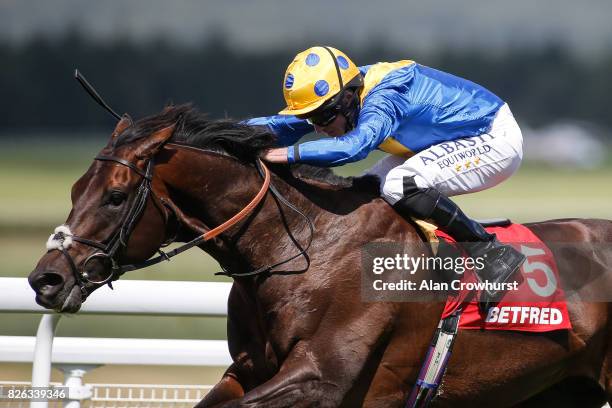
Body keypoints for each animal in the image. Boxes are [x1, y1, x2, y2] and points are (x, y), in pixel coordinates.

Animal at [29, 106, 612, 408]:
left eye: (116, 196)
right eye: (76, 188)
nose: (46, 280)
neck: (299, 249)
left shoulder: (322, 379)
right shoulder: (248, 370)